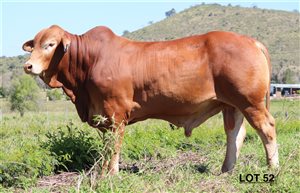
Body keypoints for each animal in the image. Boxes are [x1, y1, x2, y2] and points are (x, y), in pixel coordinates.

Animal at [21, 24, 278, 175]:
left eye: (50, 44)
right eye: (33, 46)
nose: (28, 66)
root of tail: (251, 41)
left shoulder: (116, 113)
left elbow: (114, 146)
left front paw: (112, 173)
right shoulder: (102, 116)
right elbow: (105, 147)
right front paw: (102, 171)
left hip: (250, 103)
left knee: (266, 129)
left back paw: (272, 168)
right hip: (231, 105)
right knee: (235, 134)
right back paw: (226, 170)